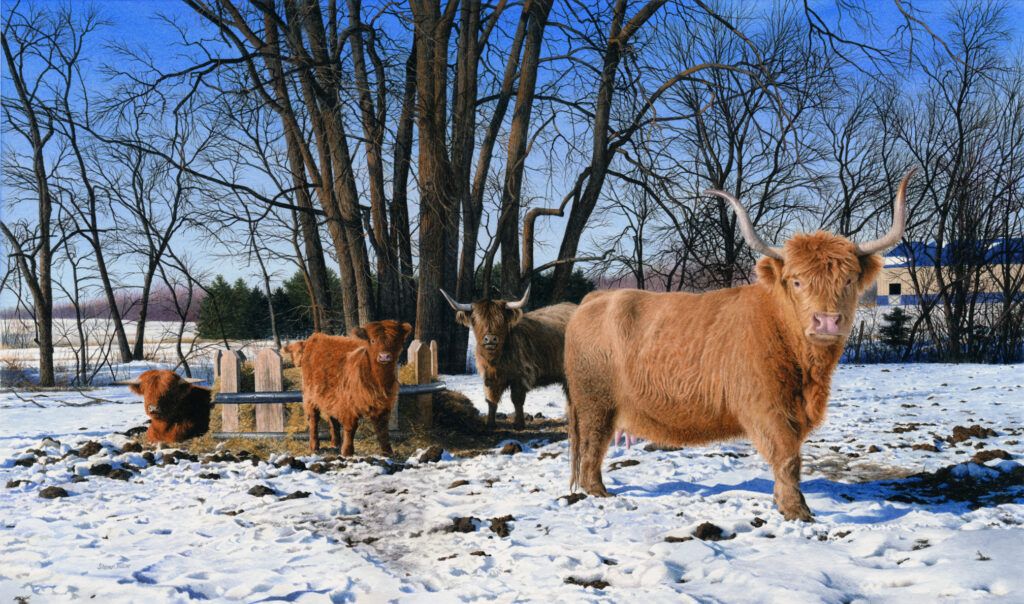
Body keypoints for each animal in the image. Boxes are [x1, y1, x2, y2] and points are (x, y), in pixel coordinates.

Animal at [301, 320, 412, 456]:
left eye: (395, 340)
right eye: (372, 340)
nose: (384, 356)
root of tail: (317, 336)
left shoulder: (384, 406)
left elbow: (382, 430)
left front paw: (387, 452)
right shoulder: (348, 404)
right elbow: (351, 427)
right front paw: (347, 451)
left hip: (330, 395)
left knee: (332, 417)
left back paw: (335, 443)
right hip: (310, 394)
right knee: (313, 418)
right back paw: (314, 445)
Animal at [440, 286, 576, 430]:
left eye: (501, 320)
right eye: (476, 319)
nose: (490, 339)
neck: (496, 359)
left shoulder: (520, 376)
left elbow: (517, 400)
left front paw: (519, 424)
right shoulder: (488, 376)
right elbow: (491, 400)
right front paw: (490, 424)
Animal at [564, 170, 917, 522]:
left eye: (848, 279)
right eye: (797, 281)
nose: (827, 321)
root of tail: (595, 299)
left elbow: (790, 457)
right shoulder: (766, 408)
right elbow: (787, 457)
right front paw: (796, 510)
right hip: (595, 402)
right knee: (592, 446)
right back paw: (598, 492)